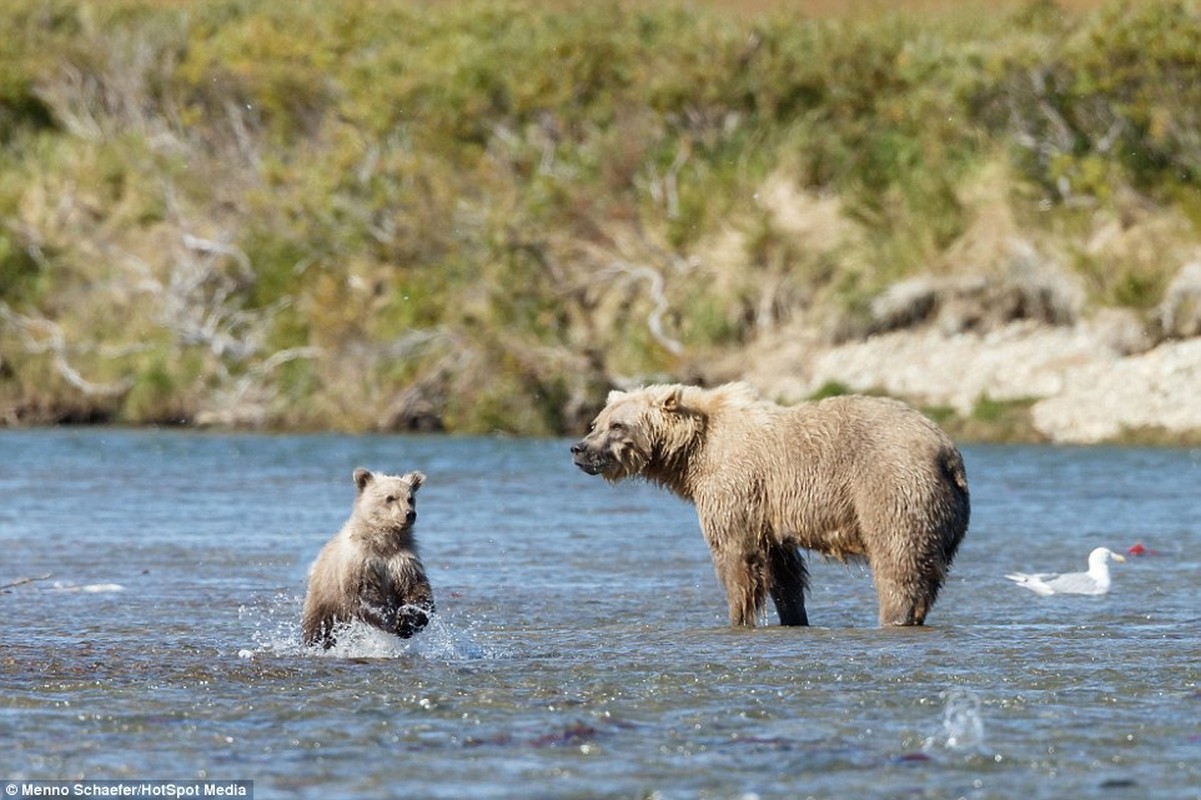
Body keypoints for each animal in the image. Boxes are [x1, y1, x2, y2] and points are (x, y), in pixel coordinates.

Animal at [566, 384, 970, 624]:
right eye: (597, 422)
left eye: (618, 426)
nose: (579, 450)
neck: (691, 452)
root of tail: (947, 451)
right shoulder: (767, 509)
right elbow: (782, 570)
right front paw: (792, 615)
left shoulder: (734, 484)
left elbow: (736, 555)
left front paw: (736, 615)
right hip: (945, 514)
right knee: (927, 572)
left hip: (890, 486)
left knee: (896, 560)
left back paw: (894, 614)